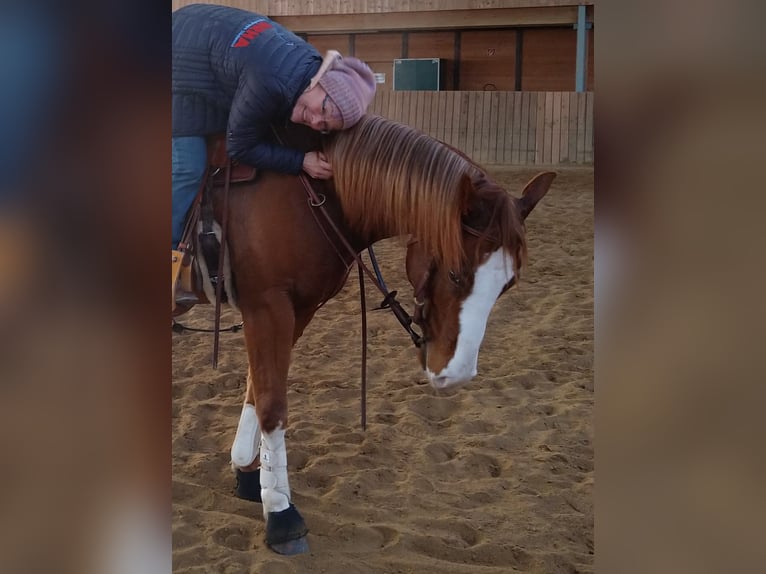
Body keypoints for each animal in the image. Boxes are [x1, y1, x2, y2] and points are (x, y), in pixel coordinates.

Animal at [173, 114, 555, 554]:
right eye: (455, 272)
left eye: (507, 285)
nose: (456, 373)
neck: (318, 190)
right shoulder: (267, 306)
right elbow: (272, 404)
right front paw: (281, 514)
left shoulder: (298, 309)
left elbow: (257, 387)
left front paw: (249, 474)